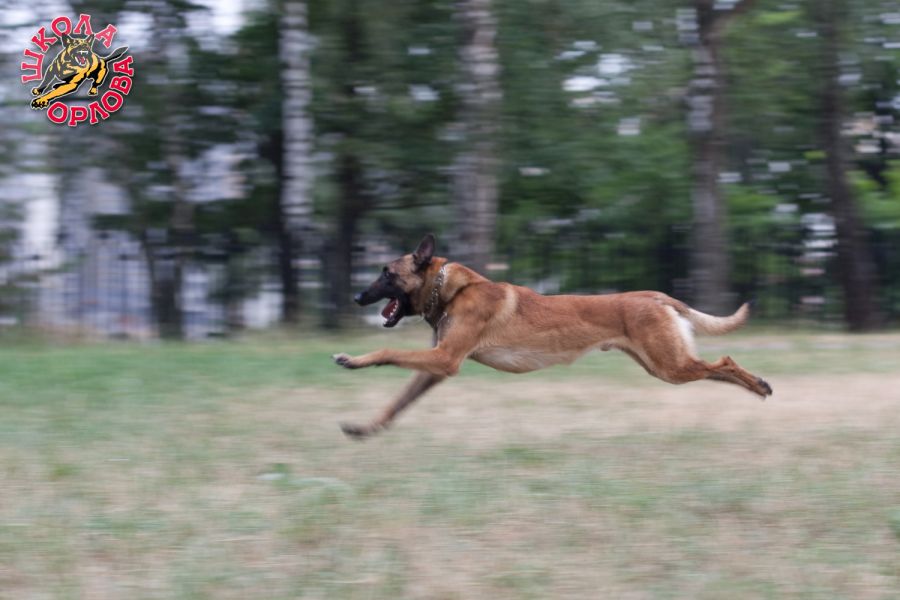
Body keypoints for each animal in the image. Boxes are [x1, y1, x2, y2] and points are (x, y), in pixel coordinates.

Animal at [334, 234, 772, 438]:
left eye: (386, 274)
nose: (356, 297)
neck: (452, 289)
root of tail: (655, 295)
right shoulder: (436, 368)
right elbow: (396, 404)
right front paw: (366, 428)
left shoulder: (445, 360)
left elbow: (386, 349)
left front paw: (352, 359)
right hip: (664, 365)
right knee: (717, 369)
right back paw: (756, 387)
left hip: (669, 365)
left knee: (725, 362)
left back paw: (760, 386)